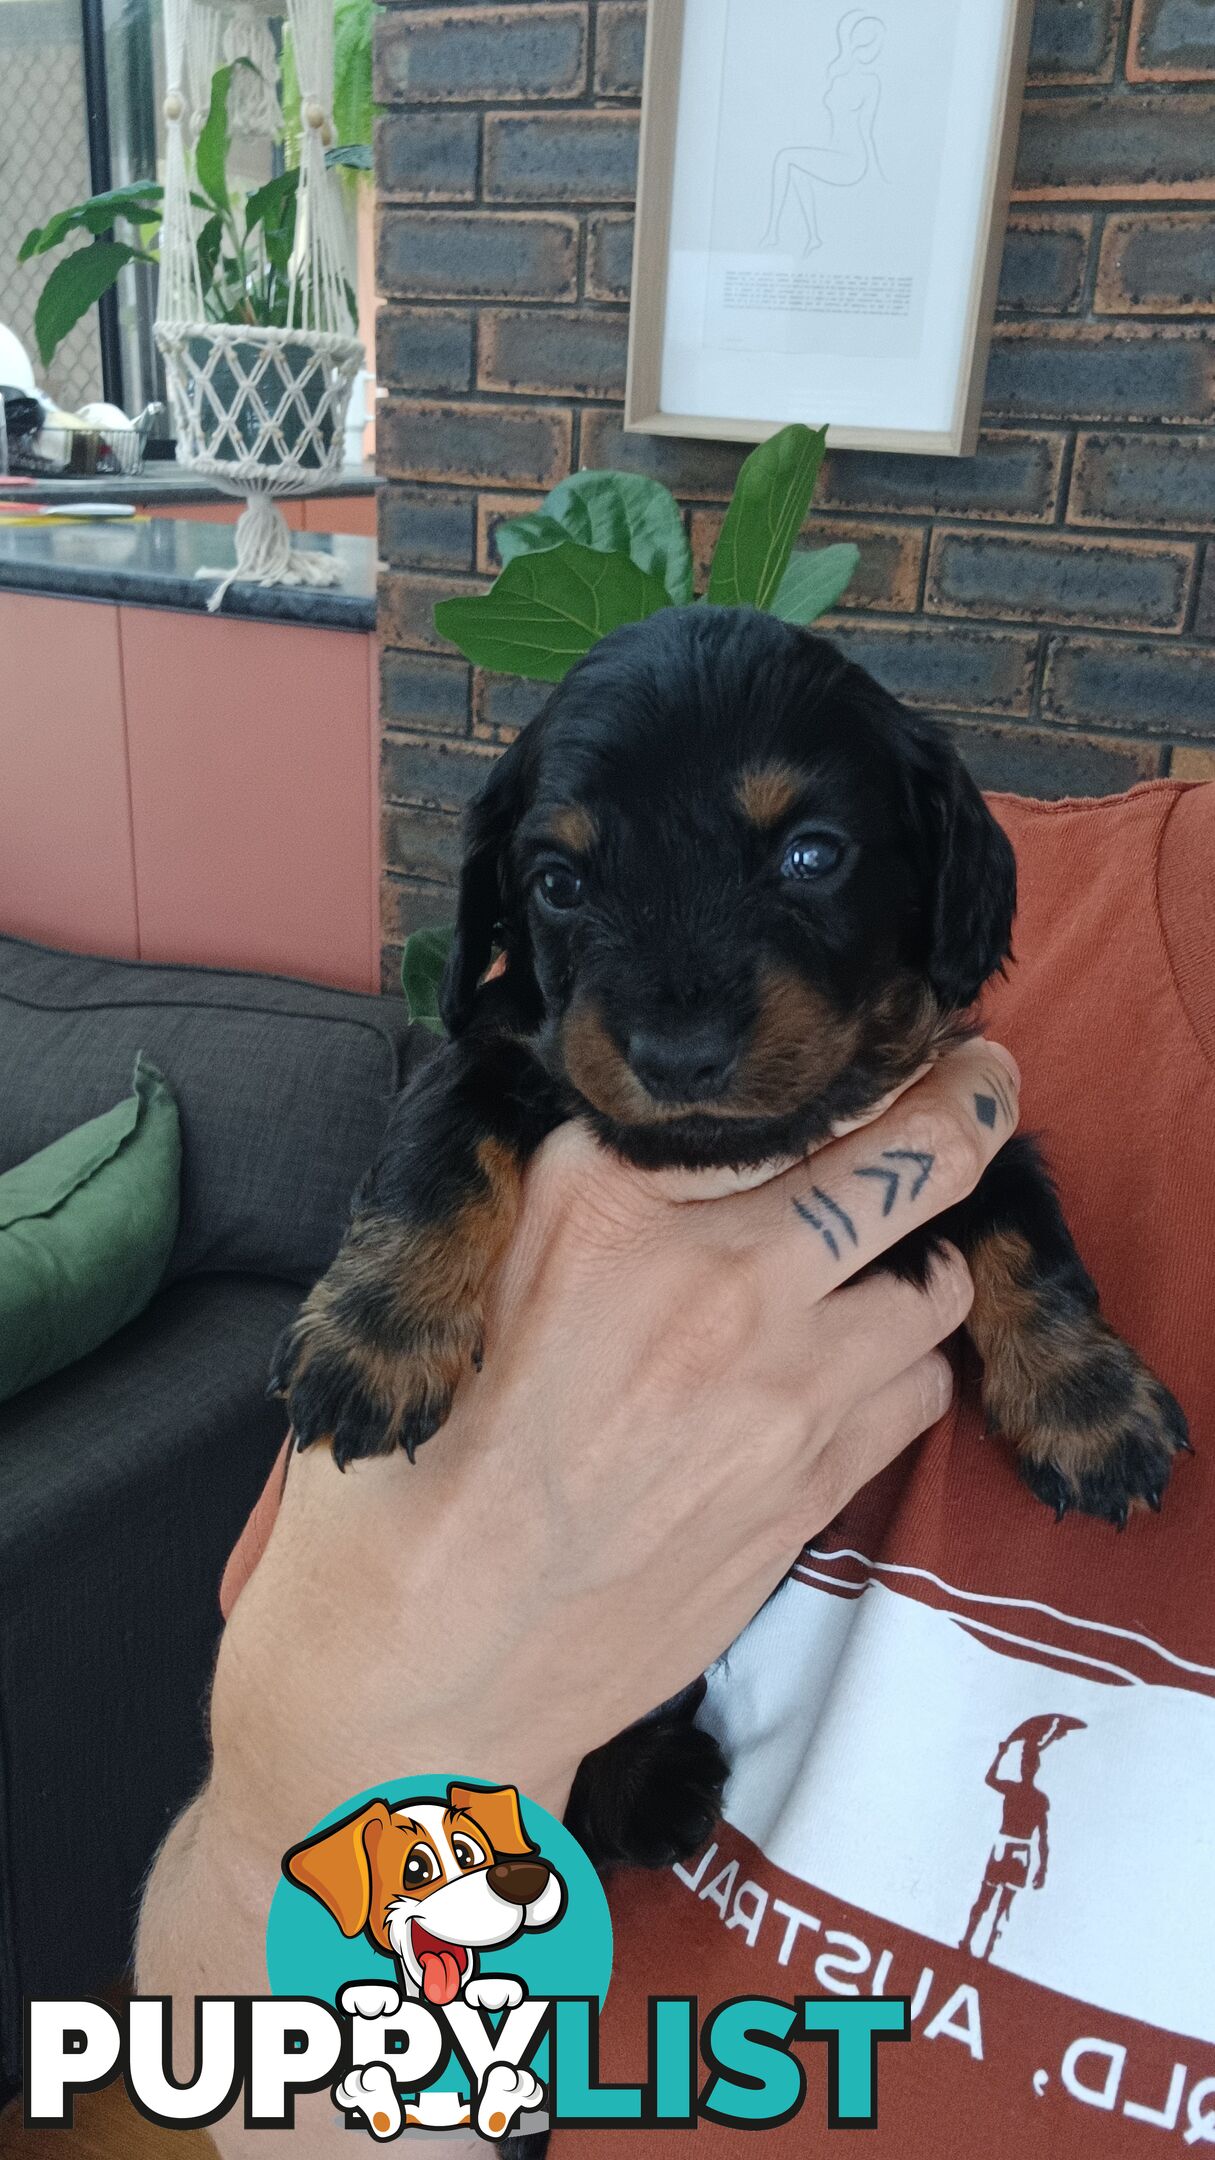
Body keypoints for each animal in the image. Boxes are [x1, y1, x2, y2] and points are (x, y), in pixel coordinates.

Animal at [272, 613, 1184, 1874]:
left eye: (810, 855)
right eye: (558, 883)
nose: (677, 1055)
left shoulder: (965, 1134)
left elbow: (1033, 1242)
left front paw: (1091, 1408)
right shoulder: (490, 1051)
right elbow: (438, 1150)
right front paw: (376, 1340)